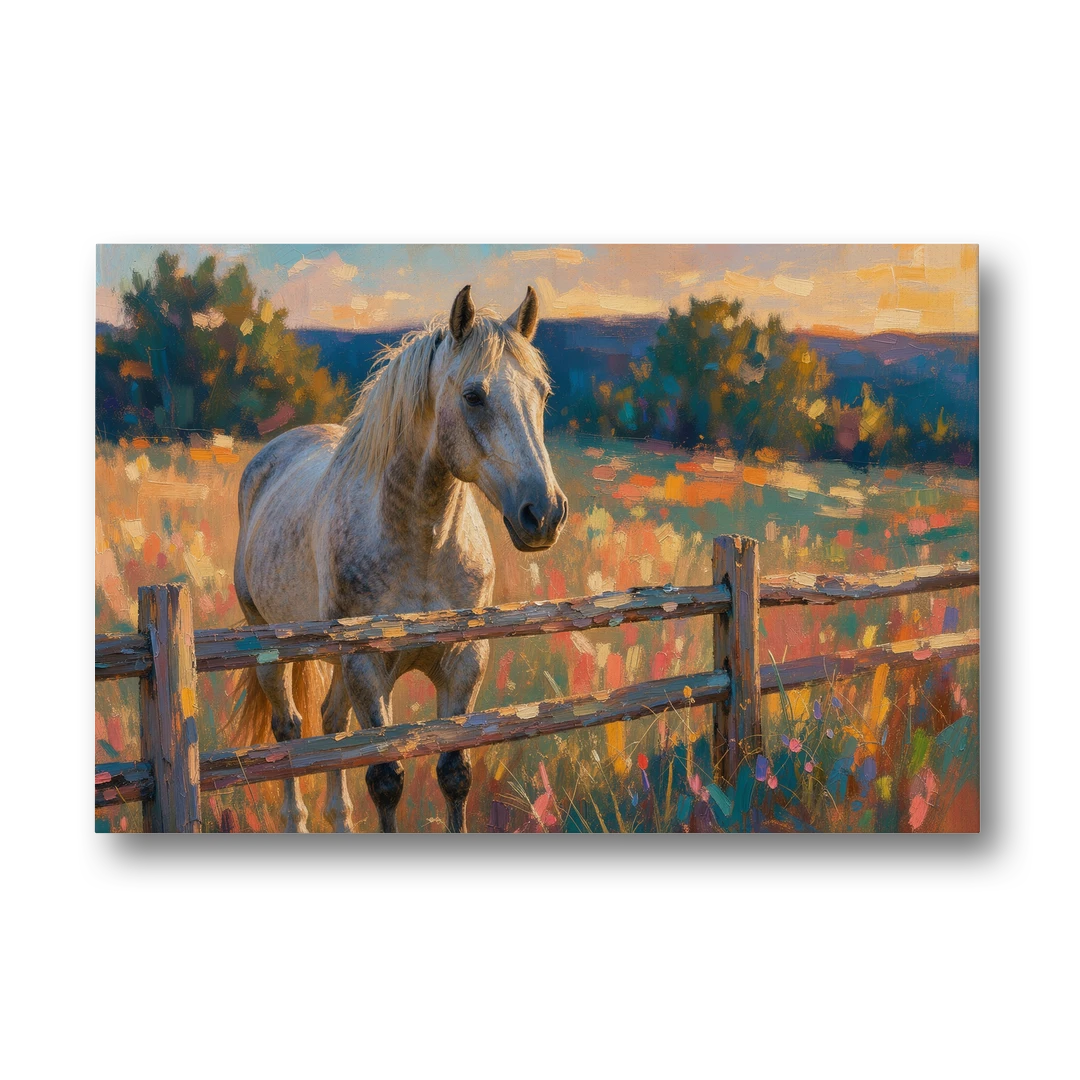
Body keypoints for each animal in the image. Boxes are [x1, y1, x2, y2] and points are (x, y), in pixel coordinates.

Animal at [230, 285, 568, 833]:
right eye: (473, 395)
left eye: (542, 393)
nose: (544, 513)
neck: (423, 547)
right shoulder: (368, 668)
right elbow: (385, 779)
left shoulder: (464, 662)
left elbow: (453, 774)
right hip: (270, 648)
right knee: (289, 732)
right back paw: (295, 819)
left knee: (333, 726)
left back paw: (339, 819)